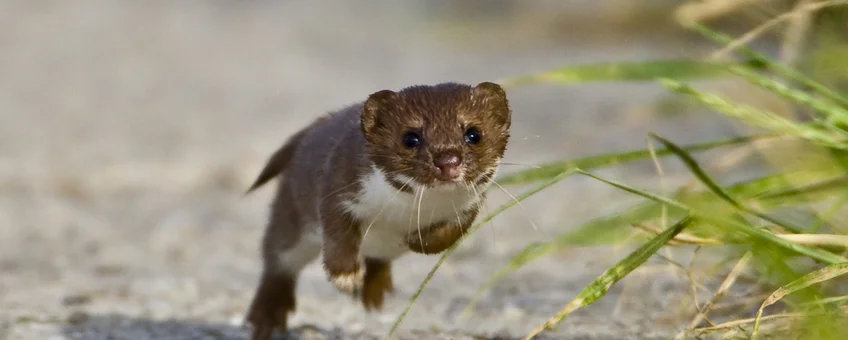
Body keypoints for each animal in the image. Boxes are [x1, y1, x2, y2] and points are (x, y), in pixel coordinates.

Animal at [245, 82, 510, 340]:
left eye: (474, 134)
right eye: (411, 137)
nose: (448, 161)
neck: (405, 212)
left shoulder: (469, 208)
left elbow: (447, 236)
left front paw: (414, 240)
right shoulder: (339, 187)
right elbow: (337, 235)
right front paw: (345, 277)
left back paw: (373, 289)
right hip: (290, 212)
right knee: (277, 257)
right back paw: (267, 316)